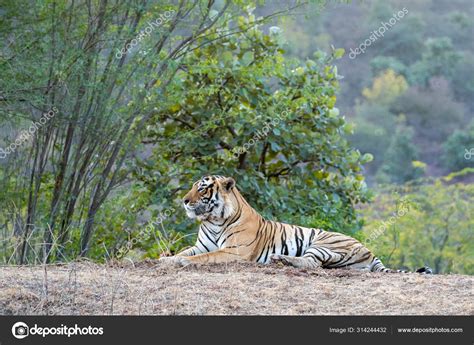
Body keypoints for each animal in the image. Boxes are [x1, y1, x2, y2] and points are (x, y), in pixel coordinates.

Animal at [157, 176, 432, 272]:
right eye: (193, 186)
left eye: (202, 188)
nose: (184, 201)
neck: (214, 219)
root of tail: (370, 251)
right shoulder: (202, 245)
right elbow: (185, 252)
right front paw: (166, 259)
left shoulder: (235, 251)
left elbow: (204, 258)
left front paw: (183, 262)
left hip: (323, 242)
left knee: (312, 263)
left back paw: (280, 259)